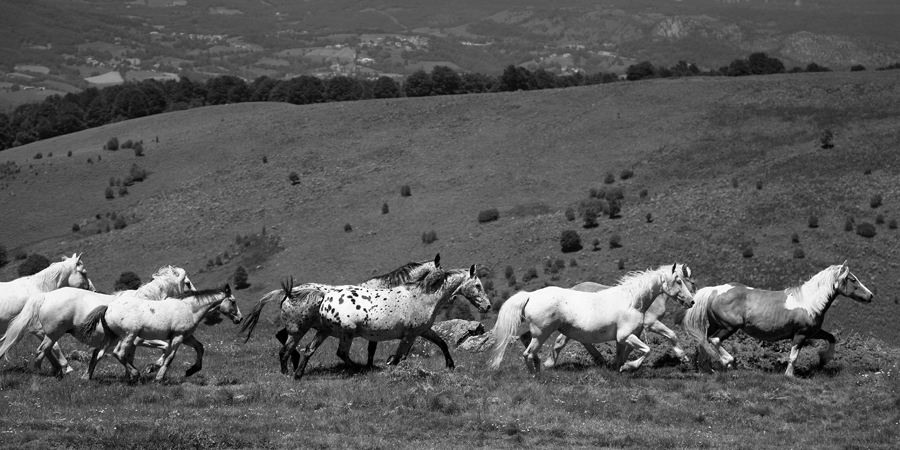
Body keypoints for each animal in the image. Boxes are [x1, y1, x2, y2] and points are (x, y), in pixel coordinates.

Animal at [0, 266, 197, 378]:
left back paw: (58, 371)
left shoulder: (132, 342)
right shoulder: (141, 339)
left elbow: (128, 356)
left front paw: (133, 375)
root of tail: (46, 295)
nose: (195, 296)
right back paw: (44, 373)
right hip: (53, 333)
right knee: (42, 351)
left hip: (51, 334)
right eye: (187, 283)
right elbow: (165, 348)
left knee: (46, 350)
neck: (145, 302)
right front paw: (150, 369)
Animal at [78, 284, 243, 382]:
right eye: (233, 301)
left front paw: (191, 370)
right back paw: (135, 374)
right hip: (128, 336)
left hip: (112, 336)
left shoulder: (186, 337)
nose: (240, 319)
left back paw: (86, 377)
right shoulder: (177, 337)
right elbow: (170, 356)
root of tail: (108, 308)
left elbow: (200, 347)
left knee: (98, 353)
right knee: (118, 353)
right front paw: (158, 376)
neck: (189, 308)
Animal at [243, 253, 442, 372]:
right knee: (285, 346)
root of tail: (287, 293)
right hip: (299, 328)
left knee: (282, 339)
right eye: (441, 271)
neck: (387, 289)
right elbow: (372, 348)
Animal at [492, 264, 696, 372]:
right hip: (543, 332)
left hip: (542, 331)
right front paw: (629, 366)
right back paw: (537, 374)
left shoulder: (626, 337)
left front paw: (619, 367)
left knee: (527, 342)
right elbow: (647, 350)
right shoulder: (626, 335)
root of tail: (531, 295)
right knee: (529, 352)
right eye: (679, 281)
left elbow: (623, 354)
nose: (692, 301)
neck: (632, 301)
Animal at [684, 260, 872, 376]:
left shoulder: (814, 332)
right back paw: (727, 361)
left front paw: (824, 358)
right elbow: (793, 356)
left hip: (716, 325)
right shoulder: (801, 334)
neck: (809, 302)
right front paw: (789, 375)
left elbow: (832, 337)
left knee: (704, 339)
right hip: (729, 326)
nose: (870, 296)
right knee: (715, 340)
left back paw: (707, 368)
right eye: (853, 279)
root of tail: (714, 290)